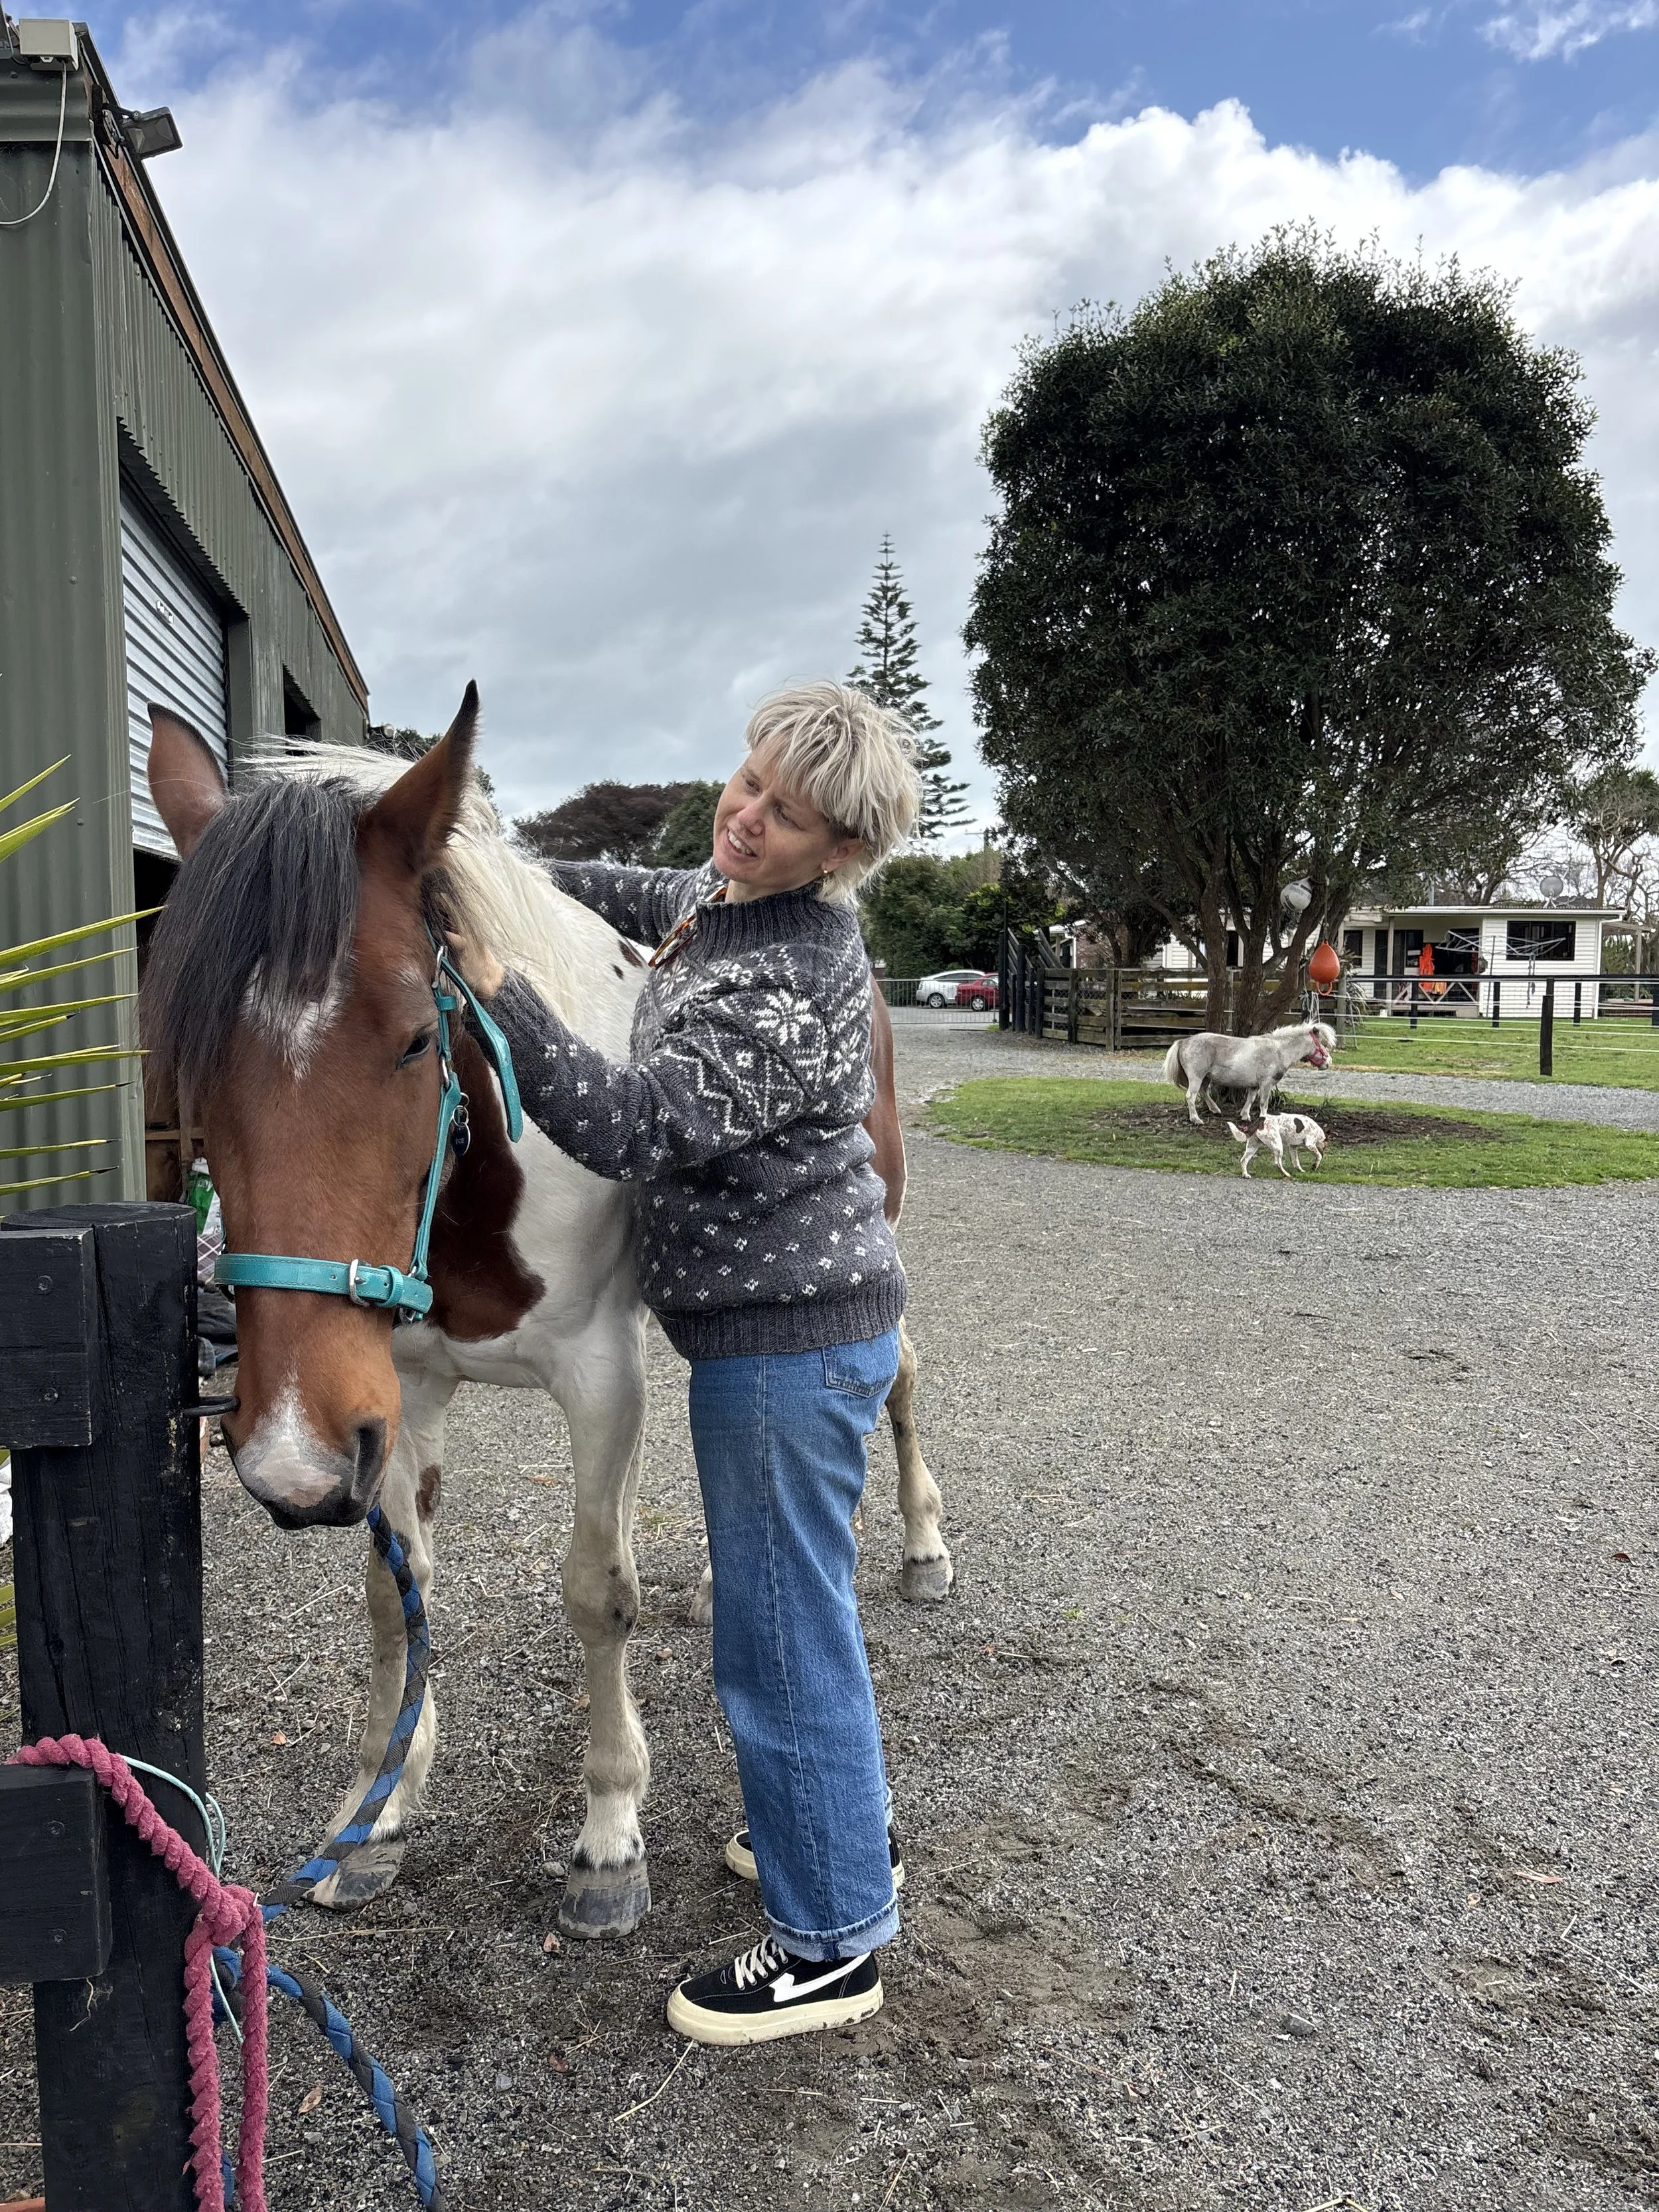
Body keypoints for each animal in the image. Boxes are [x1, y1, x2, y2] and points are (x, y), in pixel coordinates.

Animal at [140, 687, 952, 1941]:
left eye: (415, 1035)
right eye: (190, 1059)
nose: (288, 1465)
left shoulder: (597, 1378)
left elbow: (595, 1590)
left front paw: (610, 1837)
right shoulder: (397, 1390)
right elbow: (396, 1597)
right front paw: (376, 1814)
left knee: (895, 1376)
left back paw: (920, 1545)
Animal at [1162, 1021, 1335, 1125]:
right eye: (1324, 1044)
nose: (1328, 1063)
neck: (1279, 1051)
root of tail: (1184, 1042)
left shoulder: (1255, 1085)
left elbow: (1250, 1099)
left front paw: (1245, 1115)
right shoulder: (1266, 1083)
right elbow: (1263, 1102)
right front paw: (1263, 1118)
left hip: (1205, 1077)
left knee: (1204, 1092)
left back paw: (1215, 1110)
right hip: (1197, 1076)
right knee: (1191, 1096)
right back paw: (1196, 1119)